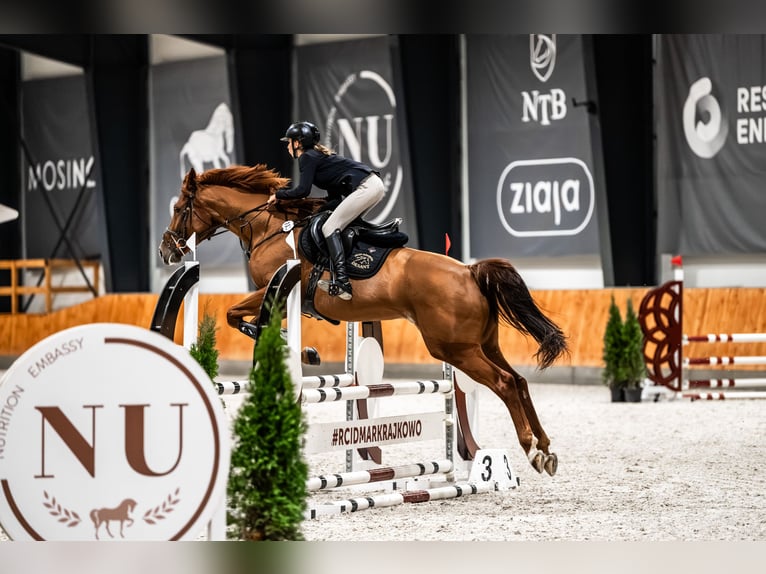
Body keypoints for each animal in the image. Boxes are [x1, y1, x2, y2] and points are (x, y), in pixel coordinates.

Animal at [158, 164, 568, 476]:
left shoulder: (275, 290)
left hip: (455, 348)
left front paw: (302, 352)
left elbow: (236, 316)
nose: (166, 250)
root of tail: (469, 272)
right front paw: (304, 351)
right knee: (519, 381)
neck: (269, 228)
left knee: (504, 383)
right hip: (483, 343)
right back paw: (547, 449)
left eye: (179, 207)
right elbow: (239, 316)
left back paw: (532, 451)